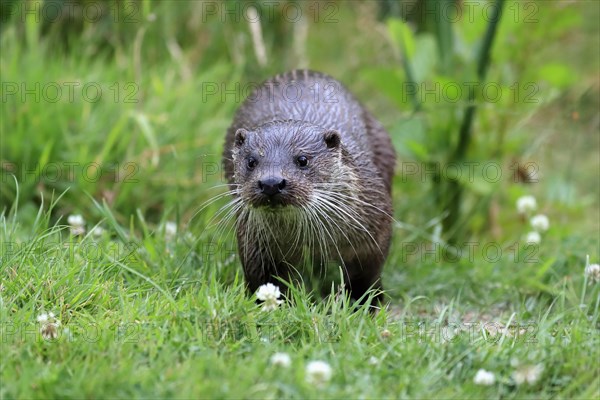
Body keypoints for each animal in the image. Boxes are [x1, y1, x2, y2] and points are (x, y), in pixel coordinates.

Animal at [223, 69, 396, 306]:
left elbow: (366, 276)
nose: (271, 183)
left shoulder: (375, 228)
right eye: (251, 161)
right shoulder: (254, 242)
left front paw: (364, 304)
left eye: (303, 159)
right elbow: (264, 279)